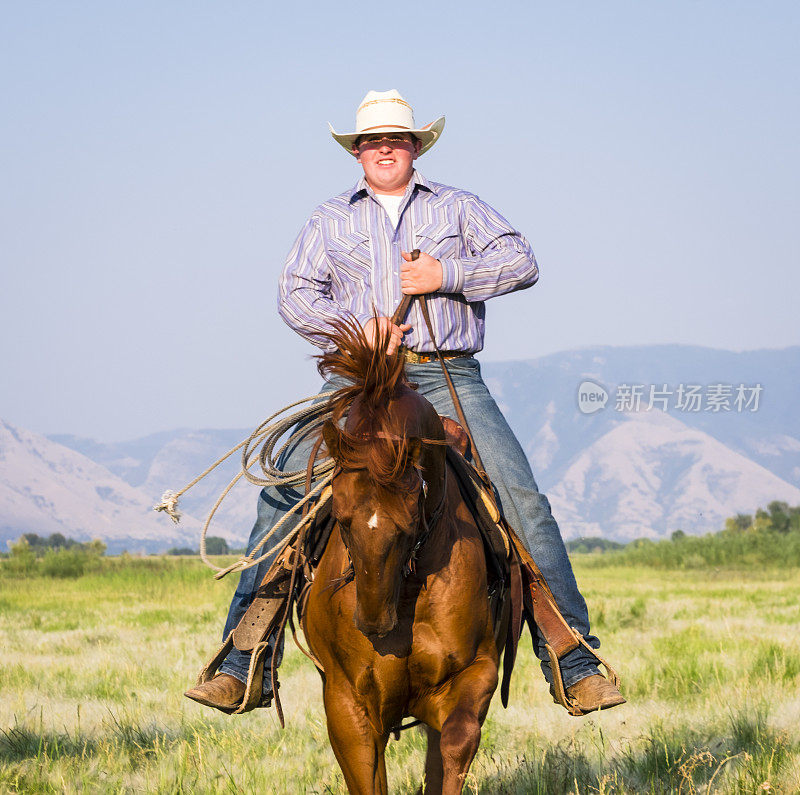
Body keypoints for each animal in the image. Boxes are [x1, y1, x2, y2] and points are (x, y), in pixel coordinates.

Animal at [300, 320, 506, 795]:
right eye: (339, 516)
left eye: (413, 517)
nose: (374, 621)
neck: (407, 591)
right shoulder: (346, 701)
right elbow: (368, 777)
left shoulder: (476, 674)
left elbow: (452, 749)